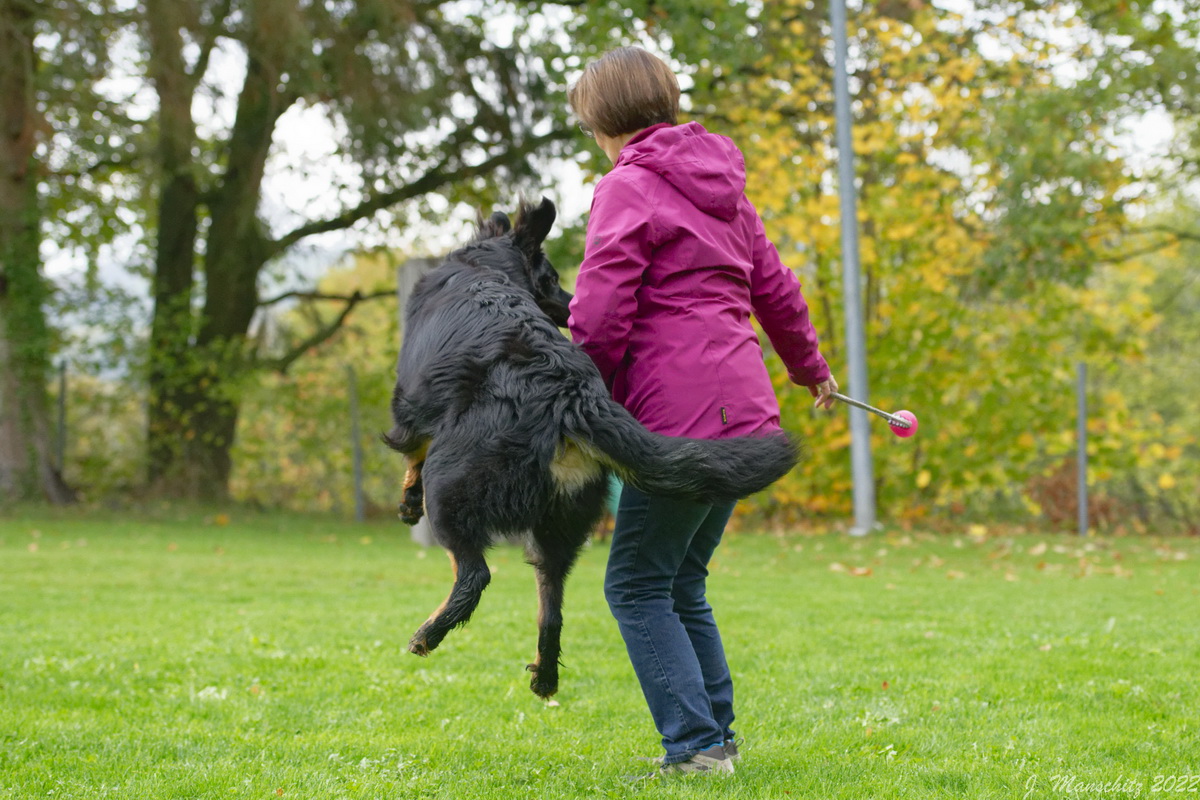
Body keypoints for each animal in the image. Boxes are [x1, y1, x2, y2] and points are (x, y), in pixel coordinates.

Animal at [384, 196, 796, 695]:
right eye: (552, 280)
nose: (570, 308)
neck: (485, 265)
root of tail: (570, 392)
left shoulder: (410, 407)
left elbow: (410, 453)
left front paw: (408, 502)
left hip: (451, 487)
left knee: (475, 574)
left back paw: (428, 633)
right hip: (560, 522)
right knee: (551, 606)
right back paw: (544, 674)